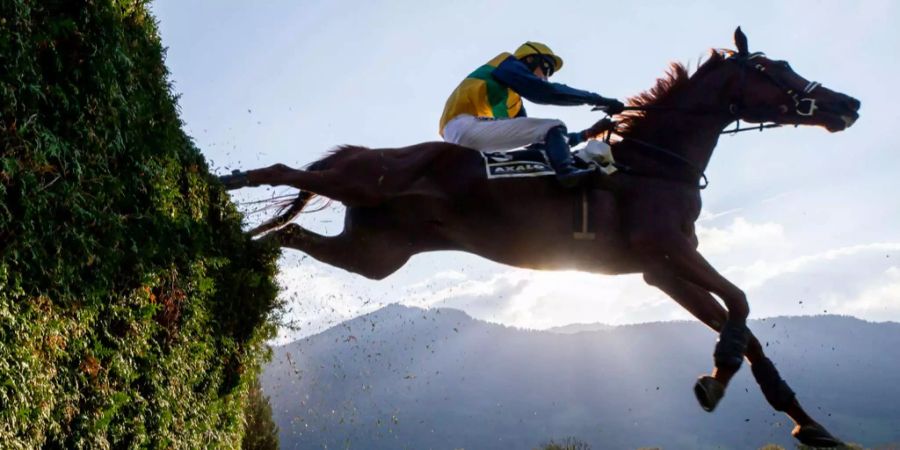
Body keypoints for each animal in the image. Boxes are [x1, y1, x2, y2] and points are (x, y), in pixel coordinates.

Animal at [218, 28, 856, 446]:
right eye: (774, 69)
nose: (848, 103)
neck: (656, 163)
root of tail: (379, 153)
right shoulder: (669, 251)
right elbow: (741, 306)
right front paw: (718, 370)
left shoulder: (663, 269)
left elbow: (746, 331)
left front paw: (808, 423)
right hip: (363, 181)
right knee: (287, 172)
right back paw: (224, 181)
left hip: (373, 252)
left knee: (290, 232)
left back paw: (245, 256)